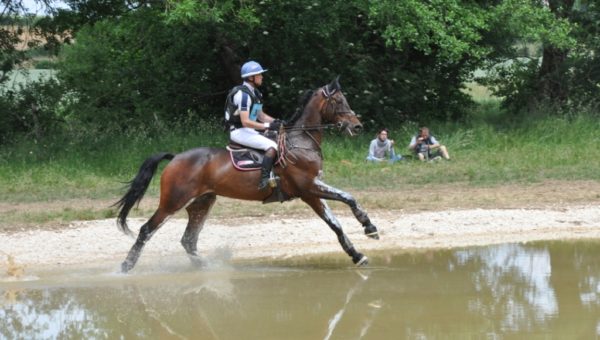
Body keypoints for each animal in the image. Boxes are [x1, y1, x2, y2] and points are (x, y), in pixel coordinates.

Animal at [115, 77, 380, 274]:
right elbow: (348, 198)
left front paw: (357, 254)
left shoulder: (312, 192)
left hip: (202, 202)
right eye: (339, 100)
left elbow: (335, 223)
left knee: (188, 240)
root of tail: (175, 158)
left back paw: (207, 268)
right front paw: (369, 226)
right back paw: (126, 267)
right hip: (173, 202)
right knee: (147, 230)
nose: (357, 126)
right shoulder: (309, 188)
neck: (301, 141)